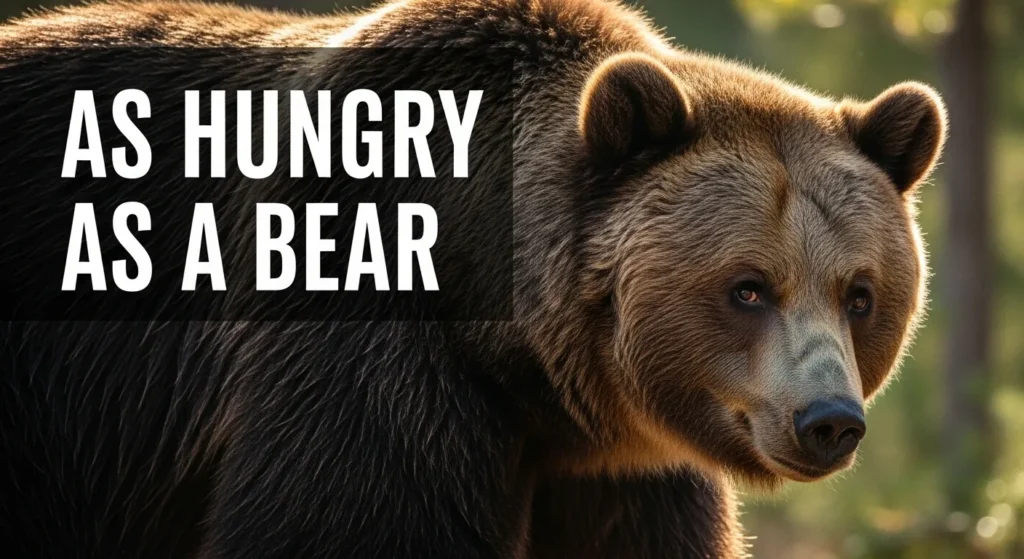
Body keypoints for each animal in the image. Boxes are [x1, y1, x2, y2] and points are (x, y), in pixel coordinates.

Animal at [0, 1, 945, 558]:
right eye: (748, 285)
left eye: (860, 292)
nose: (828, 420)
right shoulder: (367, 349)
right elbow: (344, 520)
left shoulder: (618, 464)